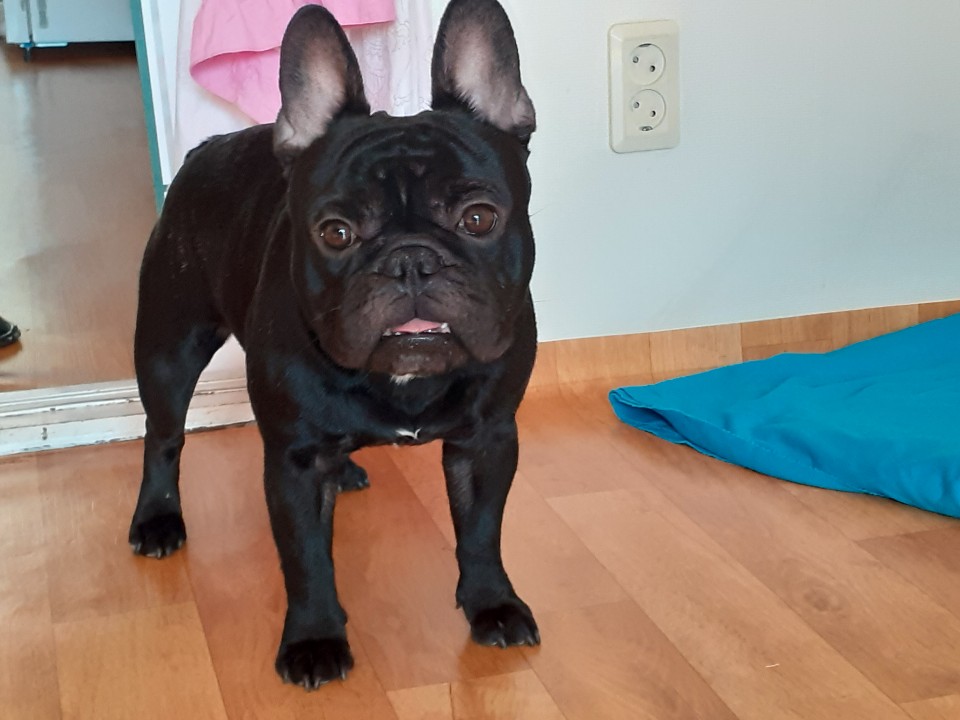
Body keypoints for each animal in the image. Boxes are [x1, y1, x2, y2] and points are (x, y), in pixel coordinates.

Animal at [129, 0, 540, 690]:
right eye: (336, 232)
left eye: (479, 219)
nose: (409, 261)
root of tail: (207, 148)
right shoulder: (293, 464)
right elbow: (306, 559)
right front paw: (314, 640)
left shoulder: (486, 442)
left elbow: (482, 529)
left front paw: (493, 606)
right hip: (168, 347)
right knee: (163, 437)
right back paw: (157, 519)